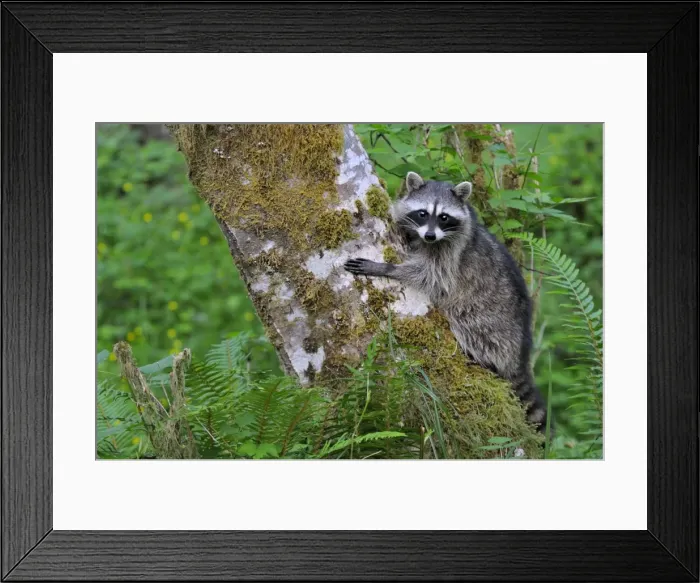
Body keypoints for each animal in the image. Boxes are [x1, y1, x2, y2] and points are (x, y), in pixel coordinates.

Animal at [344, 171, 548, 431]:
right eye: (423, 213)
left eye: (444, 217)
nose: (430, 235)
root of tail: (520, 356)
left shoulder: (452, 252)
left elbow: (430, 276)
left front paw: (386, 268)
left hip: (488, 324)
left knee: (474, 329)